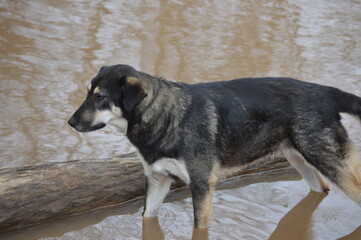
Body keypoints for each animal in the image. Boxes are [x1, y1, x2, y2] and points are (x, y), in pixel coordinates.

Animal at [68, 64, 360, 229]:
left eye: (101, 97)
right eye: (87, 93)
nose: (70, 122)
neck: (166, 117)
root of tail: (326, 91)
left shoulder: (201, 185)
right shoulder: (157, 180)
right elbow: (147, 218)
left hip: (333, 165)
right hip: (302, 161)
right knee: (321, 190)